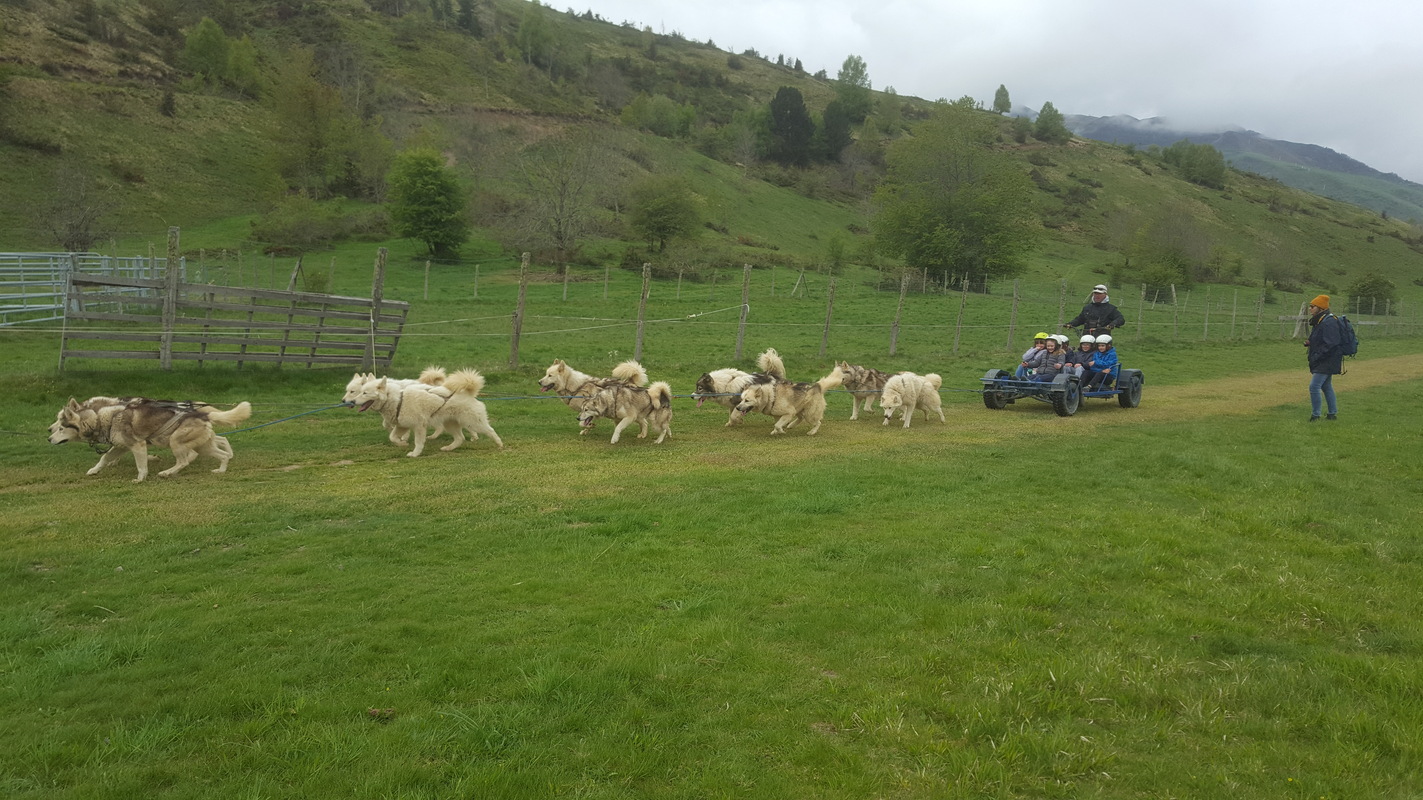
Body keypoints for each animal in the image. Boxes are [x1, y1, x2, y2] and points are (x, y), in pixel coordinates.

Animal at [48, 396, 252, 481]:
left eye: (61, 427)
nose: (49, 436)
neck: (102, 418)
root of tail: (202, 413)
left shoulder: (137, 445)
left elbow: (141, 464)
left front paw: (141, 478)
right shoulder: (121, 446)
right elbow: (104, 457)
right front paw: (94, 470)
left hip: (176, 441)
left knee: (184, 461)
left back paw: (167, 473)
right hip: (203, 446)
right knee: (221, 449)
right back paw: (221, 469)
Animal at [348, 369, 503, 457]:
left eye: (365, 393)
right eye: (360, 392)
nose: (352, 401)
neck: (397, 400)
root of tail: (468, 392)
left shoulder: (419, 426)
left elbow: (418, 442)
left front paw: (415, 453)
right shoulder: (402, 425)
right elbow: (392, 437)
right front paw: (402, 444)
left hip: (473, 422)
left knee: (490, 430)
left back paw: (499, 444)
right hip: (450, 424)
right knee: (460, 438)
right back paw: (448, 448)